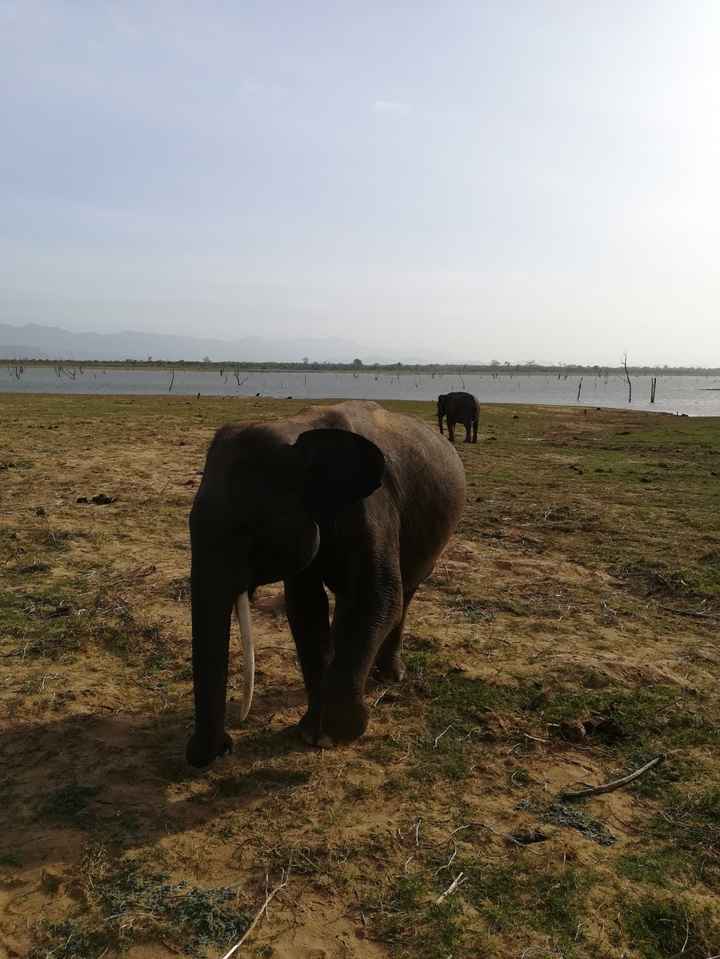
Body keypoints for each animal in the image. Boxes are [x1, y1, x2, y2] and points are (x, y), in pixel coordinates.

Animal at [186, 396, 466, 764]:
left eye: (248, 529)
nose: (224, 748)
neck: (295, 429)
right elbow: (305, 609)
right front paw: (312, 732)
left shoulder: (373, 510)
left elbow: (377, 597)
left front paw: (337, 733)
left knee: (404, 595)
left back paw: (389, 677)